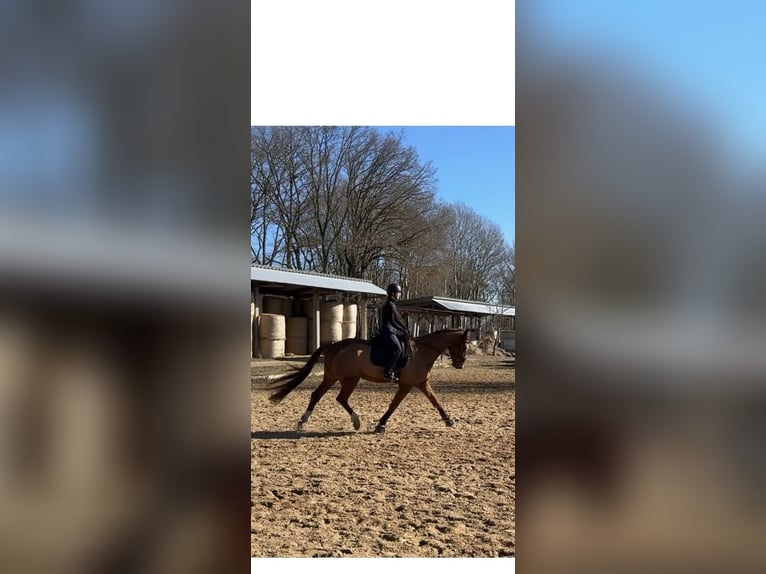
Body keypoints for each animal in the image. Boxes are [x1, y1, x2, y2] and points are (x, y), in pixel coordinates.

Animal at [267, 328, 470, 434]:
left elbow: (436, 401)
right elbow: (394, 405)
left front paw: (449, 420)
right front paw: (380, 425)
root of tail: (332, 345)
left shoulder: (421, 383)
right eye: (464, 345)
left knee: (316, 395)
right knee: (341, 398)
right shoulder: (406, 385)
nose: (460, 364)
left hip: (331, 377)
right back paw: (356, 422)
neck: (421, 352)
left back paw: (302, 422)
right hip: (350, 379)